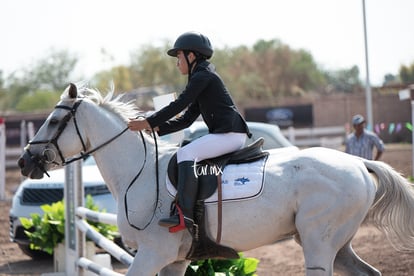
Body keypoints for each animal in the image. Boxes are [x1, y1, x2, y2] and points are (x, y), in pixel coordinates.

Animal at [19, 83, 414, 274]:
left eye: (55, 121)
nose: (25, 161)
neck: (137, 172)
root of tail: (359, 163)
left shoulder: (152, 254)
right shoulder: (175, 260)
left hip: (319, 243)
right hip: (336, 243)